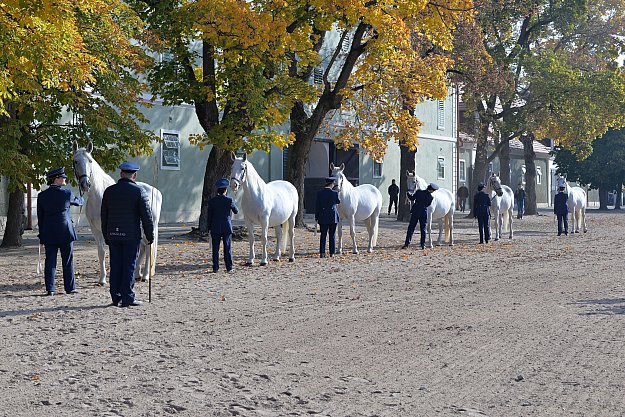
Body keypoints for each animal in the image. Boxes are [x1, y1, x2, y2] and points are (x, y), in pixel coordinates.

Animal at [72, 141, 162, 284]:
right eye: (75, 161)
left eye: (90, 161)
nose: (85, 184)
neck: (99, 196)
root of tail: (155, 192)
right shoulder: (95, 230)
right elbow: (101, 253)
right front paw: (102, 279)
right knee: (142, 248)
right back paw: (137, 274)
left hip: (149, 227)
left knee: (148, 248)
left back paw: (145, 276)